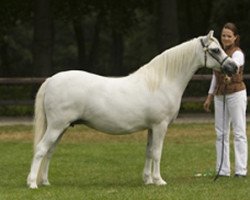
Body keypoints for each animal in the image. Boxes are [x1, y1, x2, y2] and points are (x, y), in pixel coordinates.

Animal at [27, 30, 236, 188]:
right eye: (215, 50)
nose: (234, 67)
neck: (162, 81)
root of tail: (51, 80)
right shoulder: (160, 126)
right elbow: (157, 153)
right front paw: (159, 180)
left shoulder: (152, 128)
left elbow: (149, 152)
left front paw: (148, 180)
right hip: (56, 126)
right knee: (41, 149)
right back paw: (32, 183)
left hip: (61, 127)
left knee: (49, 151)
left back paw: (45, 182)